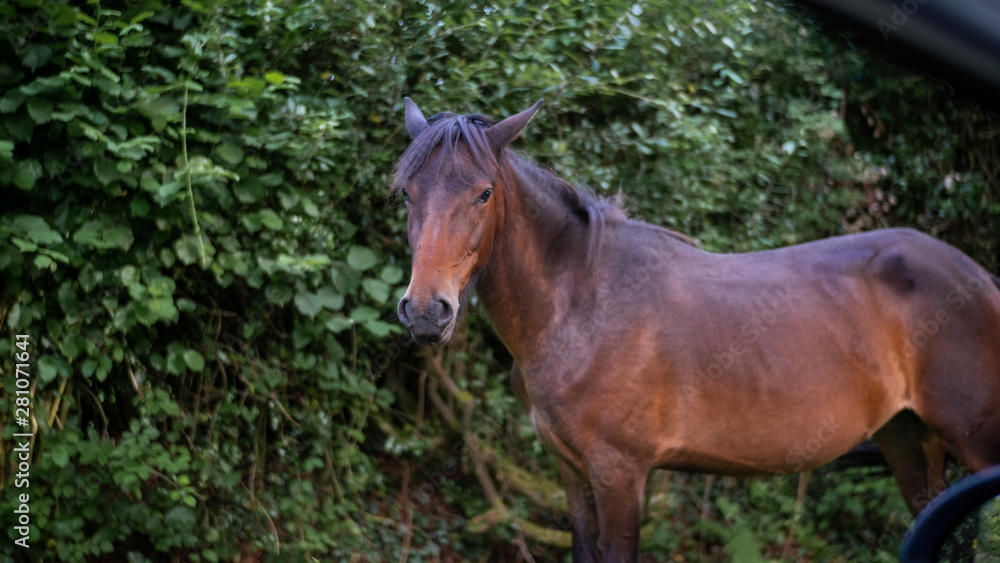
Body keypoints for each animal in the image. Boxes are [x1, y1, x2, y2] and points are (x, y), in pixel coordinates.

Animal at [392, 98, 1000, 562]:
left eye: (484, 193)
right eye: (406, 193)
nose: (426, 311)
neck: (580, 303)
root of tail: (979, 279)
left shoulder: (620, 473)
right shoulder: (570, 470)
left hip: (973, 439)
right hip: (906, 438)